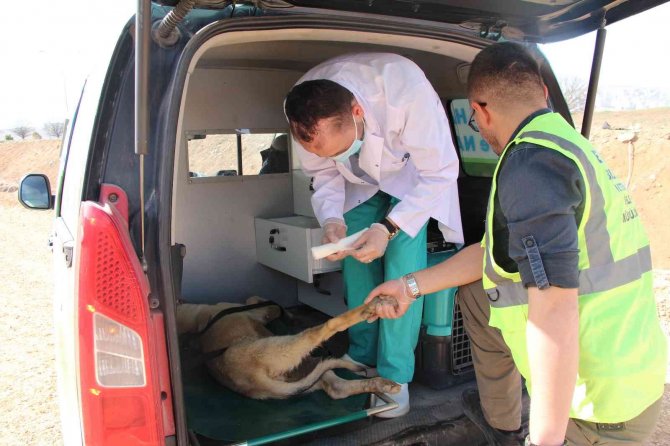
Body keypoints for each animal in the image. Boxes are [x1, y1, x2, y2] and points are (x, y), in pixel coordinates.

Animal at [176, 296, 402, 400]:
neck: (196, 321)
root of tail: (254, 382)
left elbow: (258, 300)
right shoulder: (255, 311)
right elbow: (260, 301)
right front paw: (285, 312)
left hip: (307, 375)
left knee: (337, 387)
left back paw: (383, 384)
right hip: (291, 347)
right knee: (326, 327)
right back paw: (366, 308)